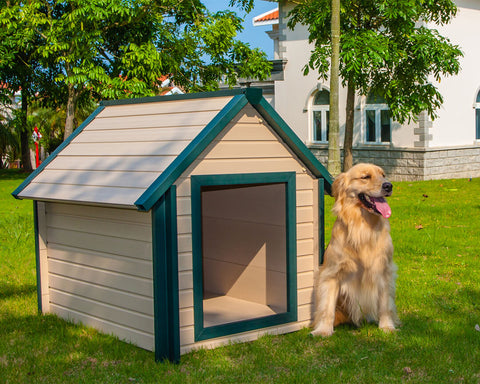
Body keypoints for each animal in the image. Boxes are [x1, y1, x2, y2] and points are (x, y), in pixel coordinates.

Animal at [312, 163, 398, 336]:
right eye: (365, 177)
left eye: (383, 175)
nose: (388, 186)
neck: (363, 227)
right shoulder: (331, 273)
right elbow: (327, 307)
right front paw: (323, 330)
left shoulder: (384, 271)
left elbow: (385, 305)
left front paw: (387, 326)